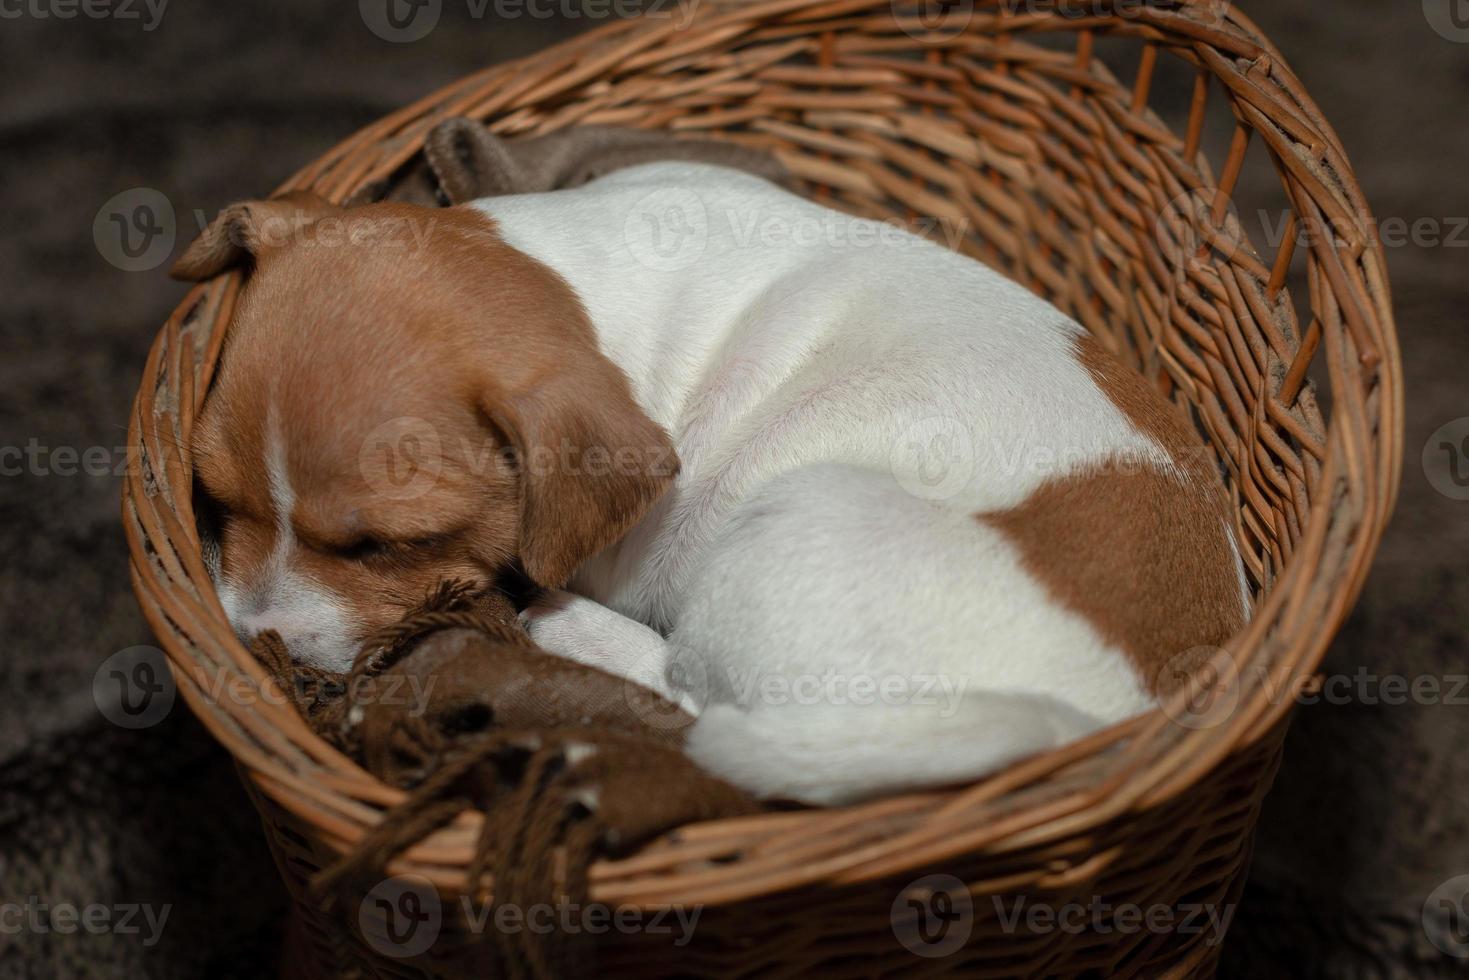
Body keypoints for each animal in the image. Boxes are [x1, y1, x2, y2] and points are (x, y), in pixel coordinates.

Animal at [174, 163, 1251, 805]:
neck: (590, 292)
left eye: (387, 545)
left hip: (797, 529)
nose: (254, 636)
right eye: (214, 499)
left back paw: (566, 630)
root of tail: (1107, 721)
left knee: (692, 697)